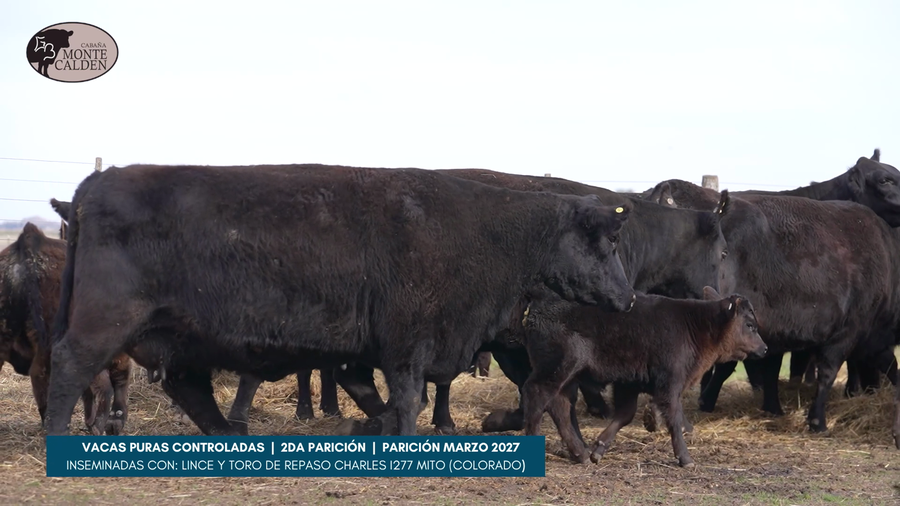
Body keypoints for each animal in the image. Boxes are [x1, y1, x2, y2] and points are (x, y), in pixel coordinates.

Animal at [44, 164, 636, 437]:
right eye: (605, 243)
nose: (629, 298)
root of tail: (94, 185)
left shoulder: (368, 350)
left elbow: (376, 394)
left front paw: (369, 426)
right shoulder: (406, 343)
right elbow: (407, 397)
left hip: (179, 337)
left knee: (189, 387)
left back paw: (228, 434)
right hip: (104, 322)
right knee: (69, 367)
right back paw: (57, 434)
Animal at [518, 287, 766, 467]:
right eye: (750, 325)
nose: (764, 348)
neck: (695, 325)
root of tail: (540, 301)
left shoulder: (629, 384)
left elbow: (625, 415)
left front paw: (598, 450)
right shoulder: (670, 383)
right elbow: (674, 418)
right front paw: (686, 459)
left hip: (567, 378)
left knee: (559, 407)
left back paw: (581, 454)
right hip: (555, 370)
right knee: (537, 395)